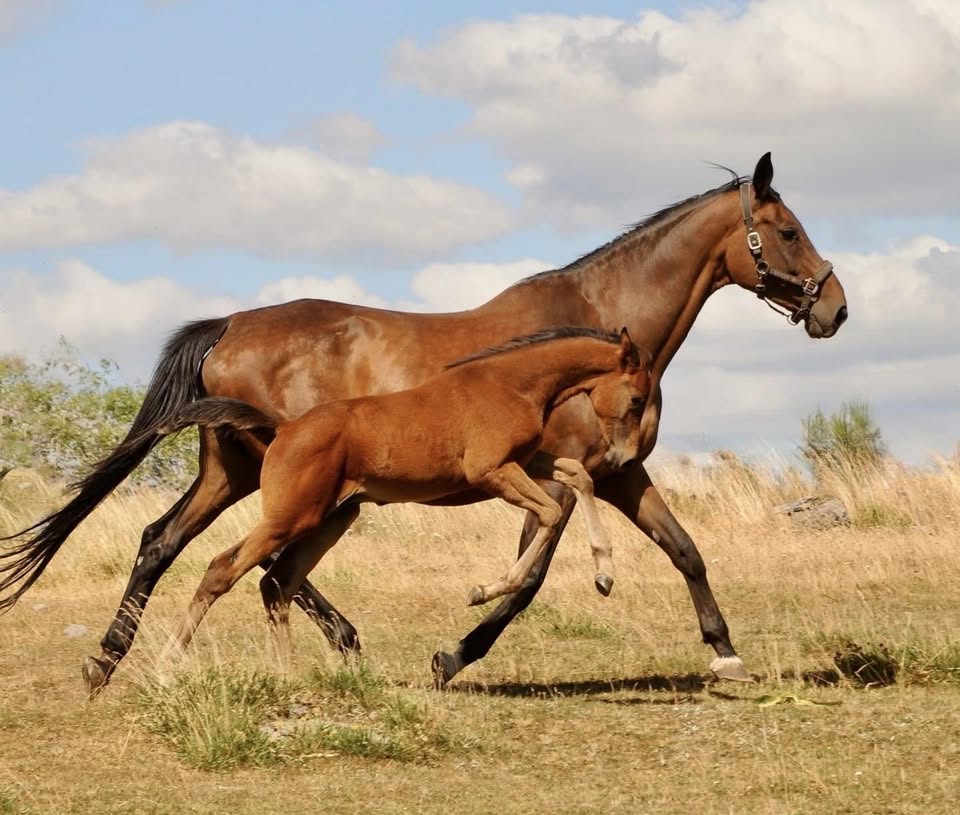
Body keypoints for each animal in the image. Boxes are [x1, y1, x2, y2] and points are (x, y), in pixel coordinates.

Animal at [152, 327, 651, 659]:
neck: (512, 384)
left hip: (329, 520)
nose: (624, 457)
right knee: (223, 569)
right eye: (637, 398)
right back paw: (168, 662)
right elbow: (549, 513)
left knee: (276, 584)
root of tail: (284, 429)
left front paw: (604, 575)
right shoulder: (490, 470)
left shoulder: (525, 461)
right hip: (288, 518)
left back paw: (285, 673)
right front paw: (482, 591)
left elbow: (578, 477)